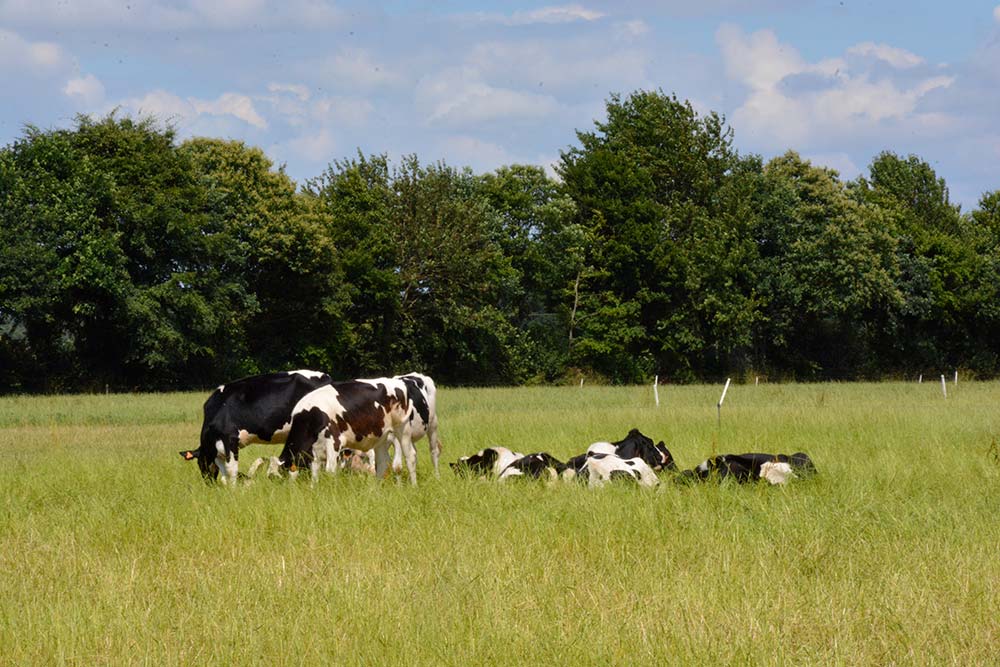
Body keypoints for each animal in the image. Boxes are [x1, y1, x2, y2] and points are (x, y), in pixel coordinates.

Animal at [180, 370, 332, 486]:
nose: (209, 483)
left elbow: (231, 470)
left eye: (200, 463)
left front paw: (234, 490)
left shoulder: (229, 438)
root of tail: (325, 376)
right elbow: (224, 474)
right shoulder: (219, 450)